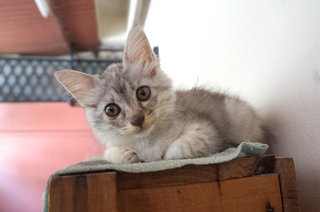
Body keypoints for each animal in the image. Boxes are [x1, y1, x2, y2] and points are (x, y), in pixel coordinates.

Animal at [54, 26, 264, 164]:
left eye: (143, 93)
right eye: (111, 110)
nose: (137, 119)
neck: (149, 142)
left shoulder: (206, 129)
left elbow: (176, 151)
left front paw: (163, 155)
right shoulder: (113, 144)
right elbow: (111, 153)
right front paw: (127, 155)